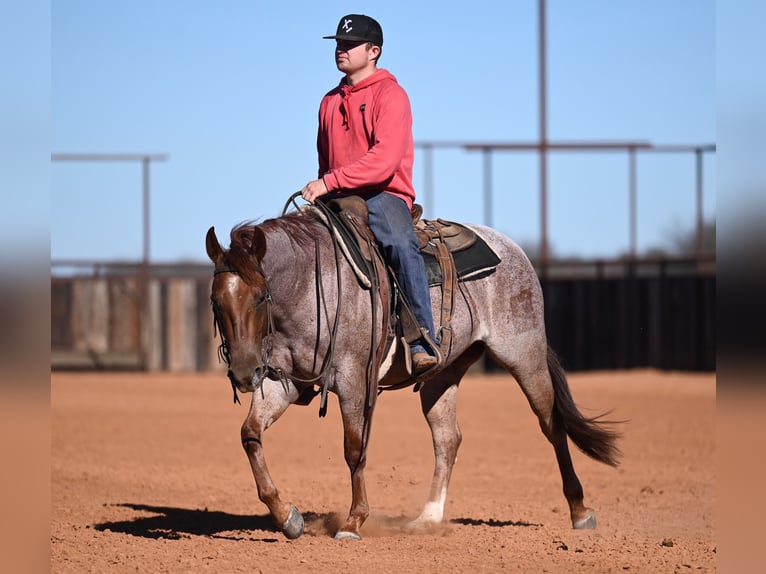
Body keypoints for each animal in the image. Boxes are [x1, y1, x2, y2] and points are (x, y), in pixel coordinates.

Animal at [205, 200, 620, 541]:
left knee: (552, 424)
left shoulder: (354, 380)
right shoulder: (284, 381)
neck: (313, 283)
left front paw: (354, 522)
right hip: (443, 375)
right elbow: (250, 434)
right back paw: (428, 518)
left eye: (261, 296)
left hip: (524, 354)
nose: (244, 373)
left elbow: (354, 448)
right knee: (448, 439)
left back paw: (580, 511)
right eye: (216, 301)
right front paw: (286, 516)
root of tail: (512, 250)